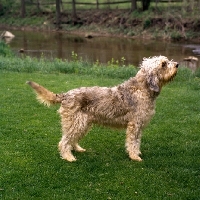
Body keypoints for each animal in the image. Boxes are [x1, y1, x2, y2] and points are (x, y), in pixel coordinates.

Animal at [26, 55, 178, 162]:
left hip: (83, 124)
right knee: (64, 141)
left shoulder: (139, 126)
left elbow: (137, 142)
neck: (143, 88)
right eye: (163, 64)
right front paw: (135, 156)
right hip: (77, 123)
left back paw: (77, 149)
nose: (177, 64)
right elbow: (133, 142)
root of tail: (65, 95)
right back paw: (69, 157)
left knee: (71, 139)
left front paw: (137, 153)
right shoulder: (135, 125)